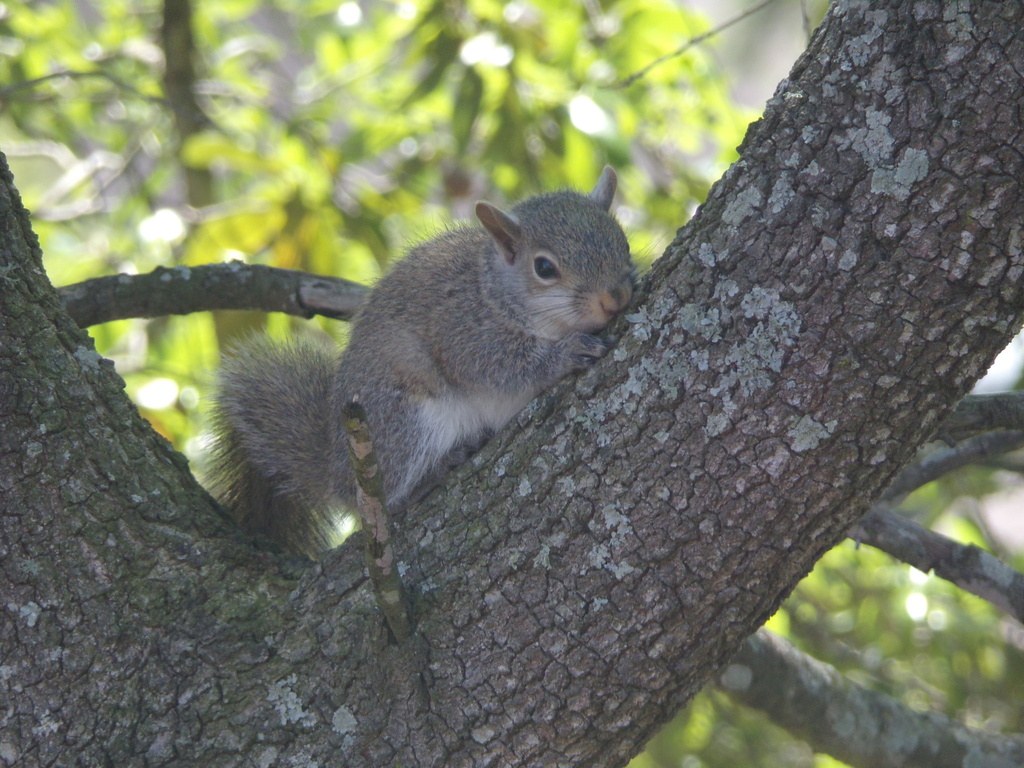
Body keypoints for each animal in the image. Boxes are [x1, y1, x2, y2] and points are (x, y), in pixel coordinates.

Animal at [209, 167, 634, 558]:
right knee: (386, 500)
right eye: (544, 268)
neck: (493, 290)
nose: (614, 297)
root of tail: (335, 472)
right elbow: (501, 366)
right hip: (403, 422)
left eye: (623, 242)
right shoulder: (461, 330)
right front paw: (565, 354)